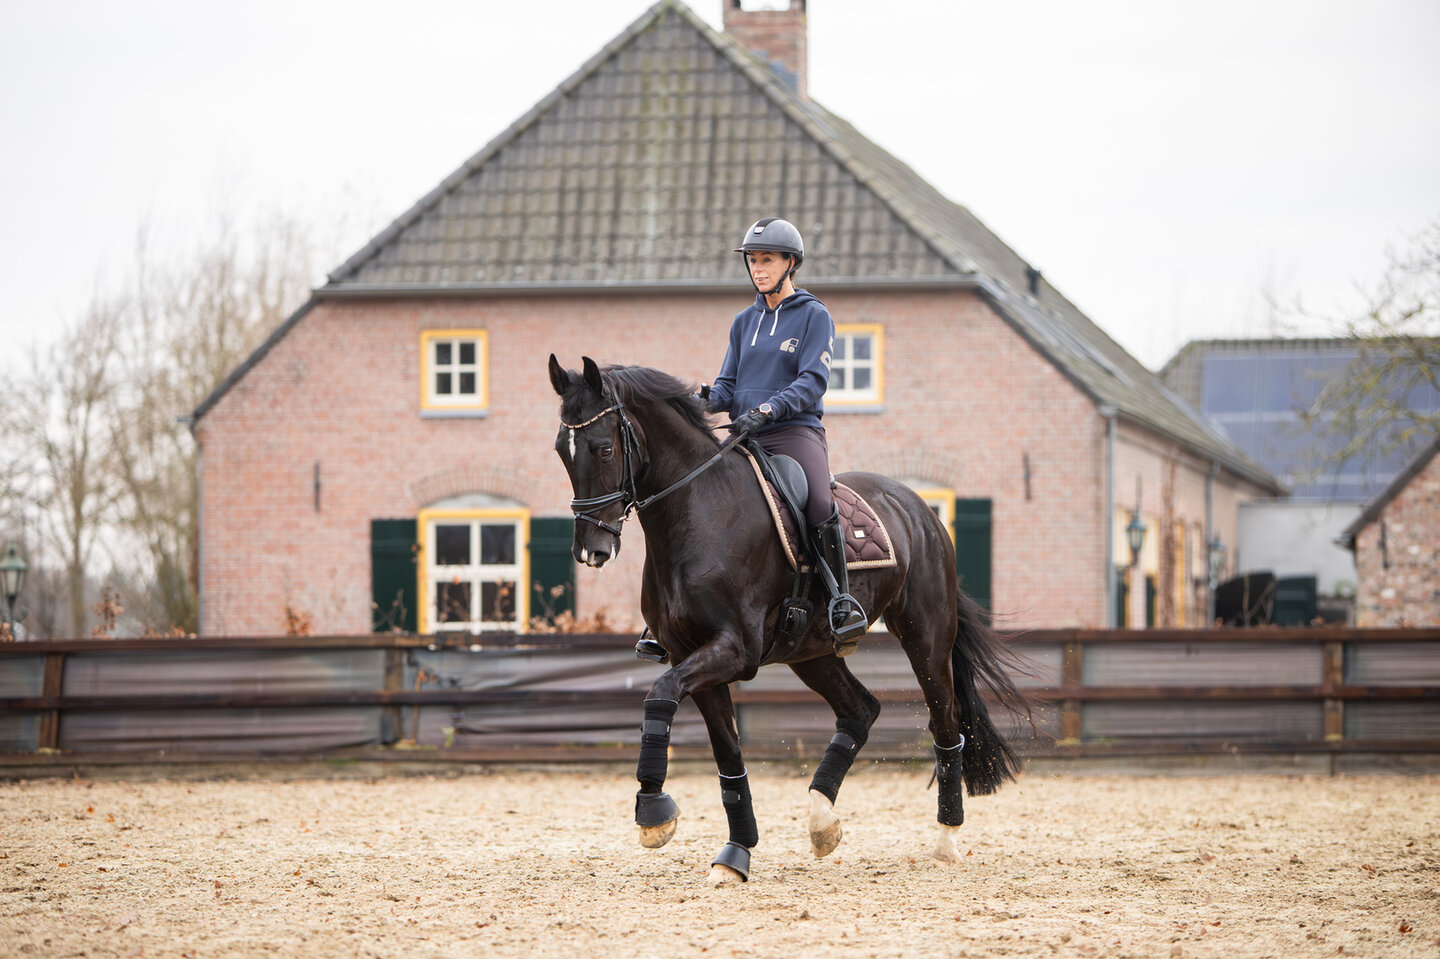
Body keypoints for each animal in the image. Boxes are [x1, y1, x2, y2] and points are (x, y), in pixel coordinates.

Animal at [548, 355, 1030, 884]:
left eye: (604, 448)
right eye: (561, 452)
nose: (591, 551)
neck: (698, 513)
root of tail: (919, 508)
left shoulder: (733, 651)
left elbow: (659, 696)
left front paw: (654, 813)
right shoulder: (689, 656)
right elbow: (725, 754)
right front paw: (735, 853)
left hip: (925, 639)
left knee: (946, 725)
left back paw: (946, 839)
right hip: (811, 652)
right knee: (860, 710)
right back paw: (822, 822)